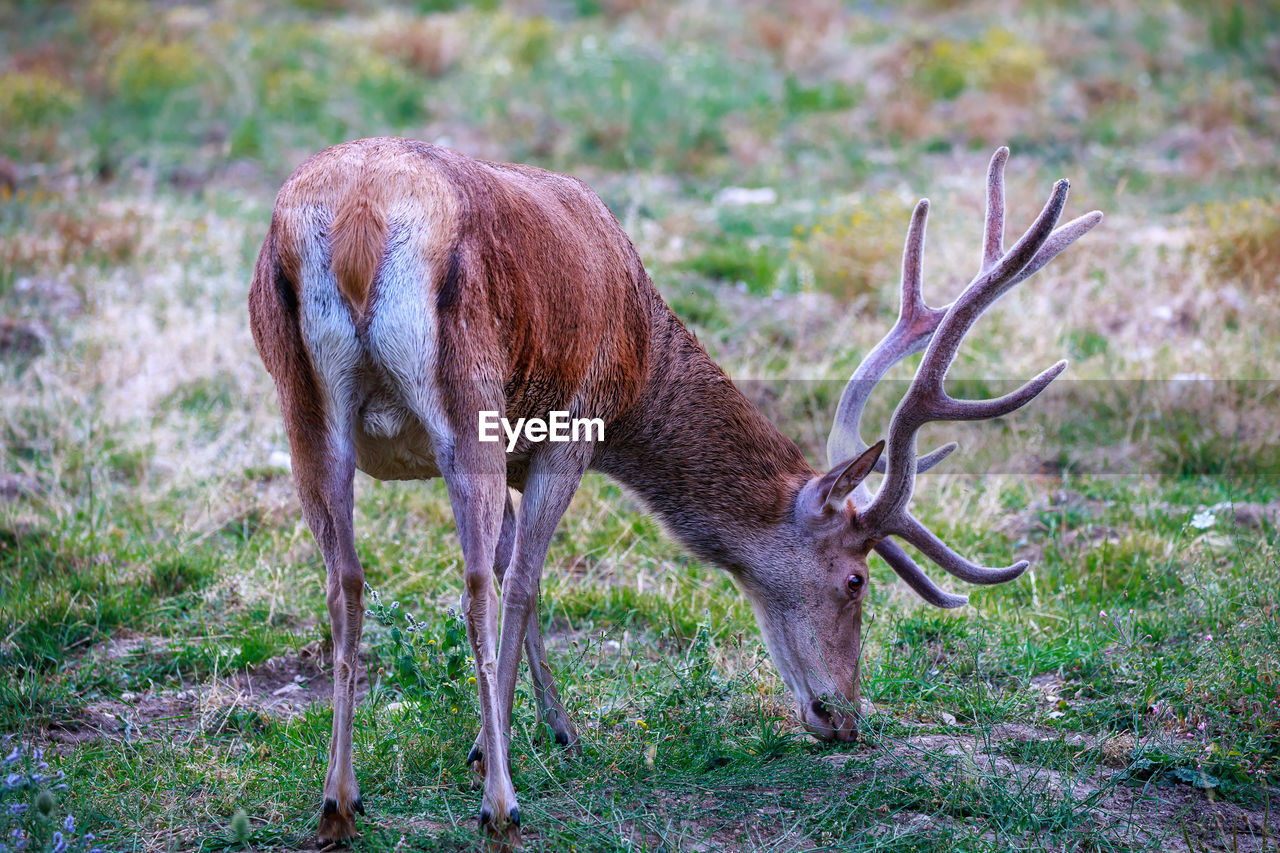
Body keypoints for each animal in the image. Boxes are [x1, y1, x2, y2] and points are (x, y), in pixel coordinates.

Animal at [247, 139, 1100, 845]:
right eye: (857, 579)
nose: (846, 718)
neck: (640, 362)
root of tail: (358, 221)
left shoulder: (526, 451)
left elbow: (520, 575)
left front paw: (547, 729)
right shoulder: (571, 427)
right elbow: (525, 580)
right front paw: (498, 749)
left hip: (301, 408)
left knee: (345, 579)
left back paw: (338, 801)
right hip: (467, 396)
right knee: (479, 583)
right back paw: (499, 807)